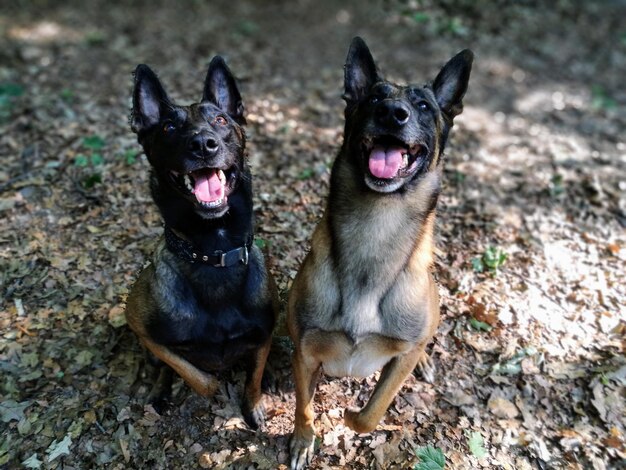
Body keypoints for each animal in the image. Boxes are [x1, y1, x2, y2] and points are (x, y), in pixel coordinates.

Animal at [124, 57, 276, 428]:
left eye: (220, 120)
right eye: (168, 128)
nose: (203, 145)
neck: (213, 252)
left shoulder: (265, 334)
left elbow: (253, 376)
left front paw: (254, 404)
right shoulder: (137, 323)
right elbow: (192, 372)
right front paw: (212, 386)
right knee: (162, 366)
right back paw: (158, 392)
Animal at [286, 36, 470, 466]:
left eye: (424, 106)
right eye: (372, 99)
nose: (391, 113)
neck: (377, 223)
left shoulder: (401, 357)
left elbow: (371, 414)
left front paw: (349, 415)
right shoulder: (304, 354)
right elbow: (304, 407)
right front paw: (304, 440)